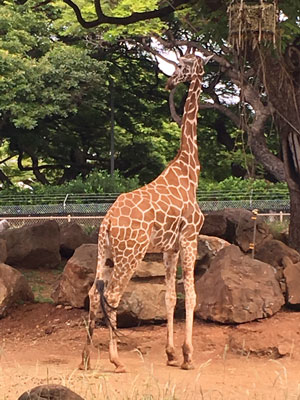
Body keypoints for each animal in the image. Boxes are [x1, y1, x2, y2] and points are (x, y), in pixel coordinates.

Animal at [79, 52, 206, 372]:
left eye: (183, 66)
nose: (169, 82)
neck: (190, 171)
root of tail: (108, 221)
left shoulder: (170, 247)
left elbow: (170, 297)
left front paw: (171, 354)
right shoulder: (190, 237)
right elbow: (191, 296)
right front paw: (187, 355)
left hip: (105, 251)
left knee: (94, 293)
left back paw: (86, 359)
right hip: (131, 253)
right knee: (112, 294)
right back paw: (115, 360)